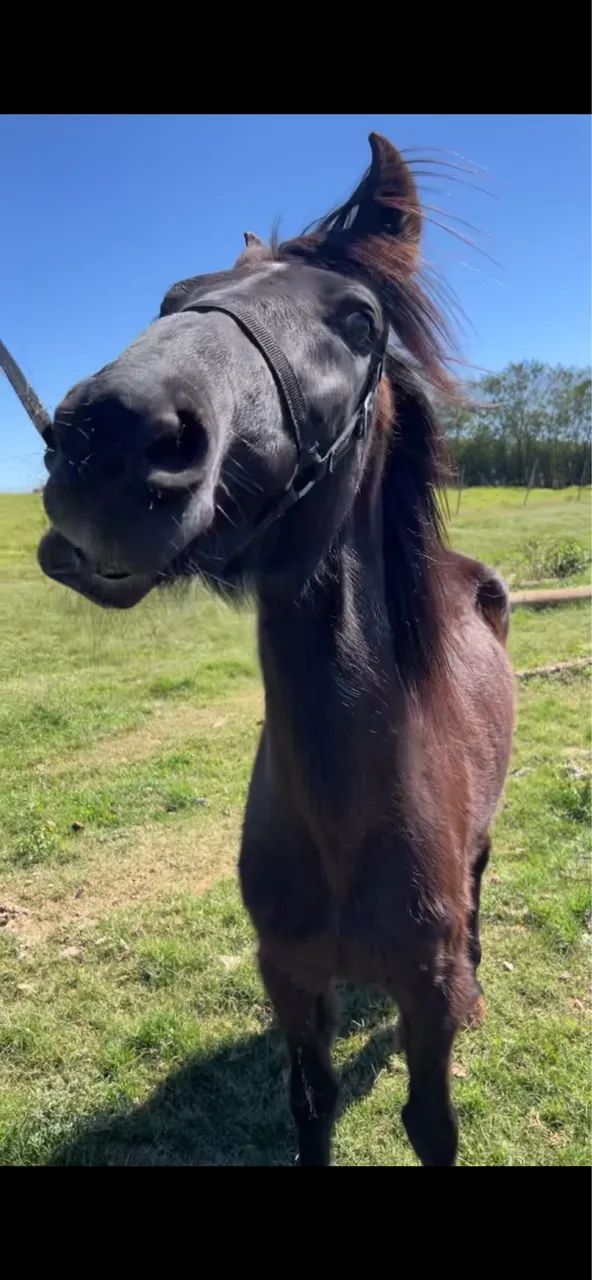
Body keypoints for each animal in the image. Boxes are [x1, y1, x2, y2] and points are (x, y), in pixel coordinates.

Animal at [36, 133, 515, 1166]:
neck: (345, 826)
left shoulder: (423, 997)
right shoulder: (290, 980)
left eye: (360, 320)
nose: (109, 438)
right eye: (172, 297)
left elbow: (431, 1124)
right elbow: (310, 1104)